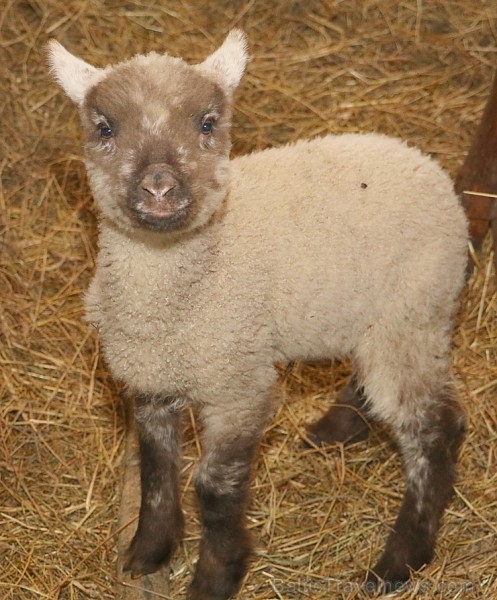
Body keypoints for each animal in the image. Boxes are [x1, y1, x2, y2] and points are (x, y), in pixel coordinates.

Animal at [47, 31, 468, 600]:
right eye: (104, 128)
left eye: (207, 123)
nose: (159, 186)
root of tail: (425, 164)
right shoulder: (150, 377)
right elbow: (156, 467)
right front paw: (149, 551)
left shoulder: (241, 385)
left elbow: (213, 485)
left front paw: (216, 576)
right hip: (381, 321)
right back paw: (336, 427)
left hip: (413, 313)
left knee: (436, 430)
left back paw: (399, 561)